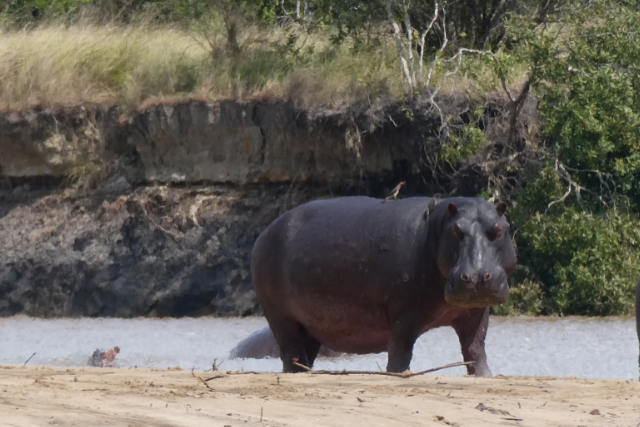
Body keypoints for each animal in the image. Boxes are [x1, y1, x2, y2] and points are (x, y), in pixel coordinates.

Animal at [251, 196, 516, 376]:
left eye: (499, 229)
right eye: (455, 230)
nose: (476, 276)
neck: (435, 228)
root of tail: (263, 233)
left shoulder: (475, 312)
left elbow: (475, 349)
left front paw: (484, 376)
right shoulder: (406, 314)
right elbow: (400, 351)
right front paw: (397, 375)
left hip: (311, 326)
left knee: (304, 354)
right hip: (280, 316)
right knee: (290, 350)